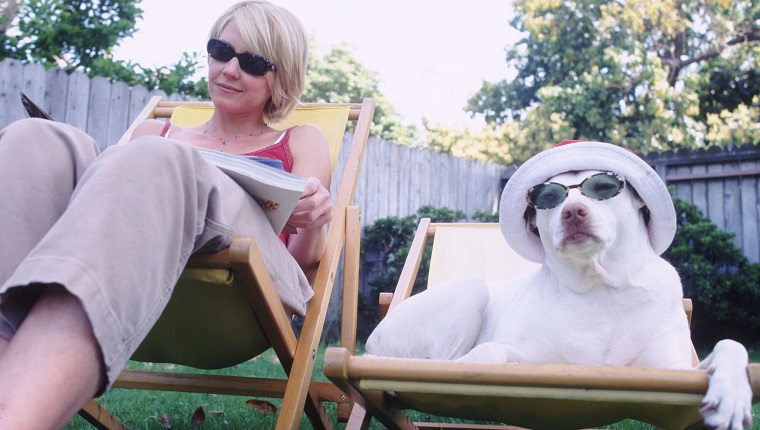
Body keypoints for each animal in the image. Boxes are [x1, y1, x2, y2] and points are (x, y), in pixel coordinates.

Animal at [368, 141, 756, 430]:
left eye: (604, 188)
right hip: (469, 288)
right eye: (549, 198)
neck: (601, 288)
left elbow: (731, 345)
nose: (573, 213)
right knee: (443, 362)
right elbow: (487, 354)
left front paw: (733, 392)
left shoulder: (675, 373)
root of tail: (371, 340)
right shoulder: (514, 355)